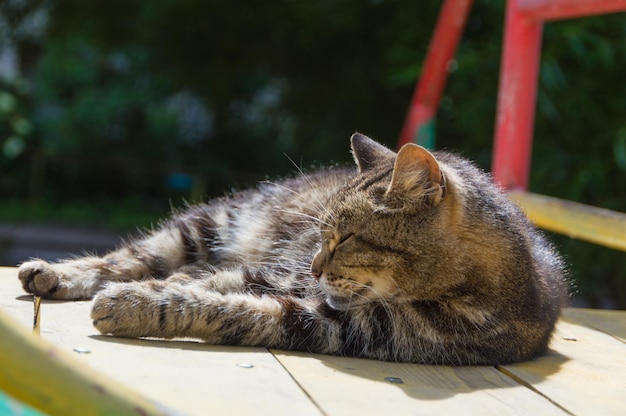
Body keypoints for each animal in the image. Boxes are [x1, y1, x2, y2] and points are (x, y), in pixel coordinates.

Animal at [18, 132, 564, 364]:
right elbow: (209, 282)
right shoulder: (283, 274)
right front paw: (152, 291)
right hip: (206, 226)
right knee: (129, 258)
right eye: (322, 235)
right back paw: (52, 272)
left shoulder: (335, 325)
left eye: (347, 238)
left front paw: (137, 305)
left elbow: (226, 308)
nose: (316, 266)